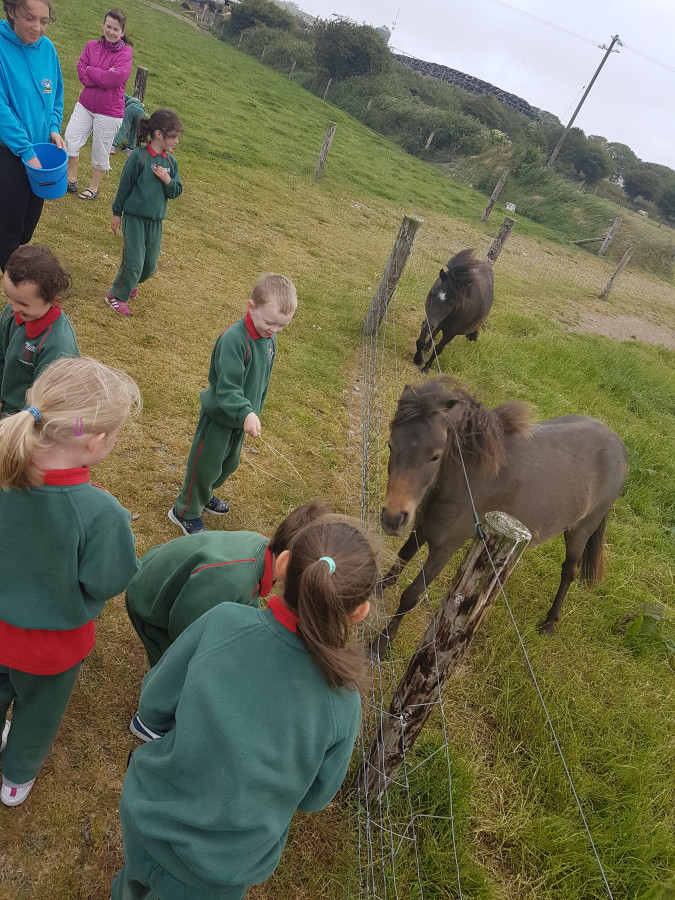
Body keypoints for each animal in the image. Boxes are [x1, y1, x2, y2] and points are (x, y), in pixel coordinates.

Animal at [371, 377, 629, 659]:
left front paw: (381, 643)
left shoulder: (445, 547)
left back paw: (550, 622)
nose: (393, 517)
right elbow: (400, 560)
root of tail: (621, 448)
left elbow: (411, 594)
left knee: (569, 571)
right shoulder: (422, 528)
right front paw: (376, 589)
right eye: (391, 445)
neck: (466, 480)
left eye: (435, 456)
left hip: (580, 532)